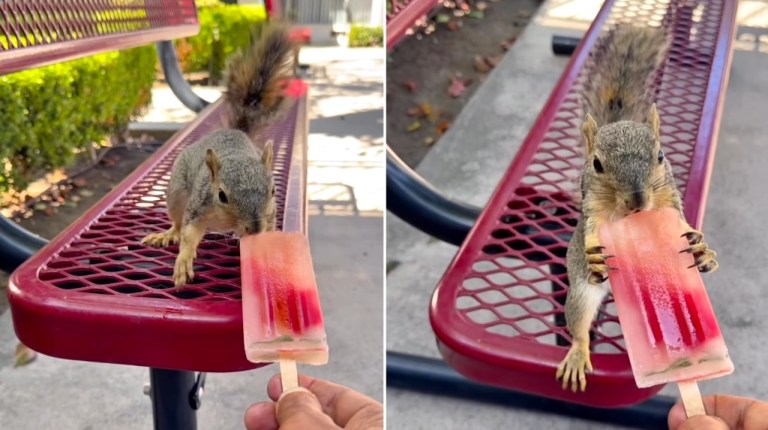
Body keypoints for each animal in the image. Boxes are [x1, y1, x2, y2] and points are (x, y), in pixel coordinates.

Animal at [141, 25, 295, 287]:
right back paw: (168, 233)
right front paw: (184, 262)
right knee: (178, 222)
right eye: (222, 195)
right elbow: (189, 234)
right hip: (176, 193)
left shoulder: (270, 214)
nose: (255, 228)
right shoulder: (198, 206)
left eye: (274, 191)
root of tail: (235, 131)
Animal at [555, 24, 719, 392]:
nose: (638, 201)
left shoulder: (669, 200)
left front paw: (701, 251)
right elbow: (592, 234)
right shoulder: (592, 209)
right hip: (581, 293)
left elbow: (684, 226)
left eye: (661, 156)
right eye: (597, 164)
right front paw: (594, 258)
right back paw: (577, 353)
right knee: (579, 323)